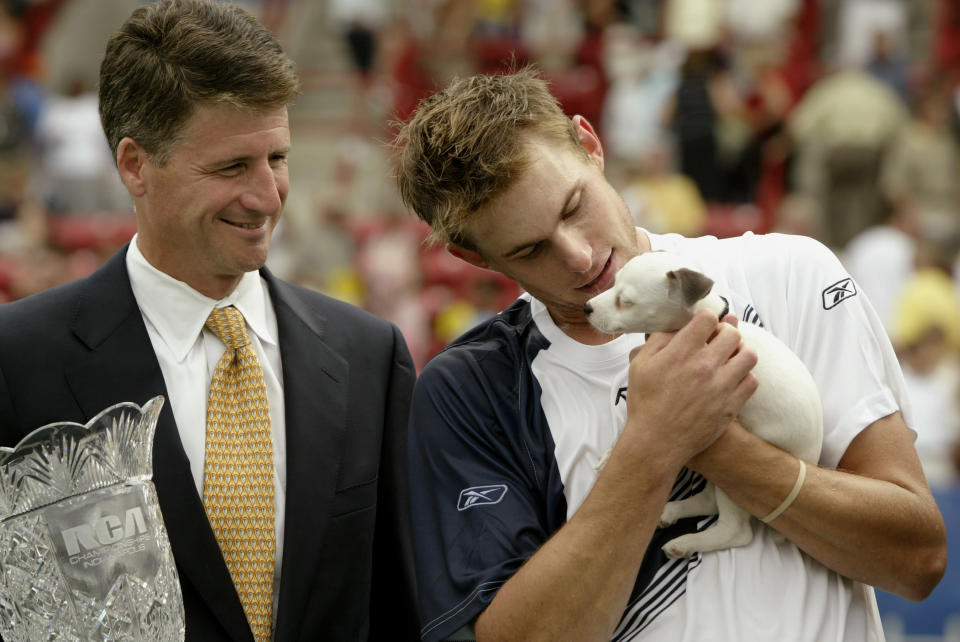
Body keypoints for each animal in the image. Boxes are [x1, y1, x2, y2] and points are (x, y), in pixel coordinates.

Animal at [580, 250, 820, 556]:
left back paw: (685, 543)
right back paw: (671, 512)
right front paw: (612, 454)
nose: (586, 308)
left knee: (736, 530)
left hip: (738, 479)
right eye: (613, 283)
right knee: (709, 500)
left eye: (626, 301)